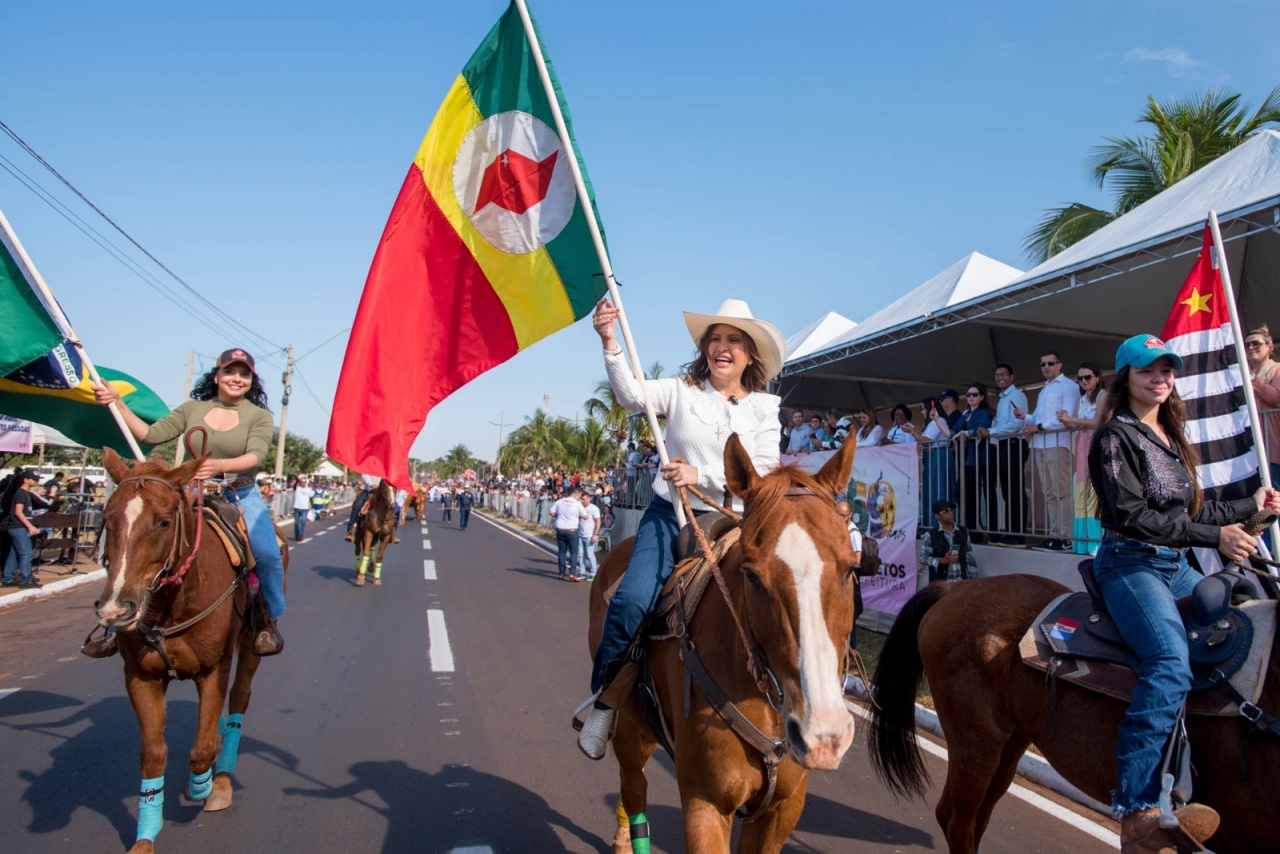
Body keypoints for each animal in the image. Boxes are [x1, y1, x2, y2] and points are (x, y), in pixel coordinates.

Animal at [99, 450, 290, 850]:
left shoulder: (213, 669)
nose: (116, 610)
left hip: (250, 645)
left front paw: (203, 789)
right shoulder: (140, 677)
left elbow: (200, 751)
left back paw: (222, 779)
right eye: (107, 520)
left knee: (238, 699)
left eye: (163, 521)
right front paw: (144, 839)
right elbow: (154, 754)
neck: (172, 603)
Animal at [588, 437, 860, 850]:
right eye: (752, 576)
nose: (823, 734)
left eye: (850, 569)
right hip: (626, 725)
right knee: (634, 787)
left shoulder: (782, 809)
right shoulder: (706, 803)